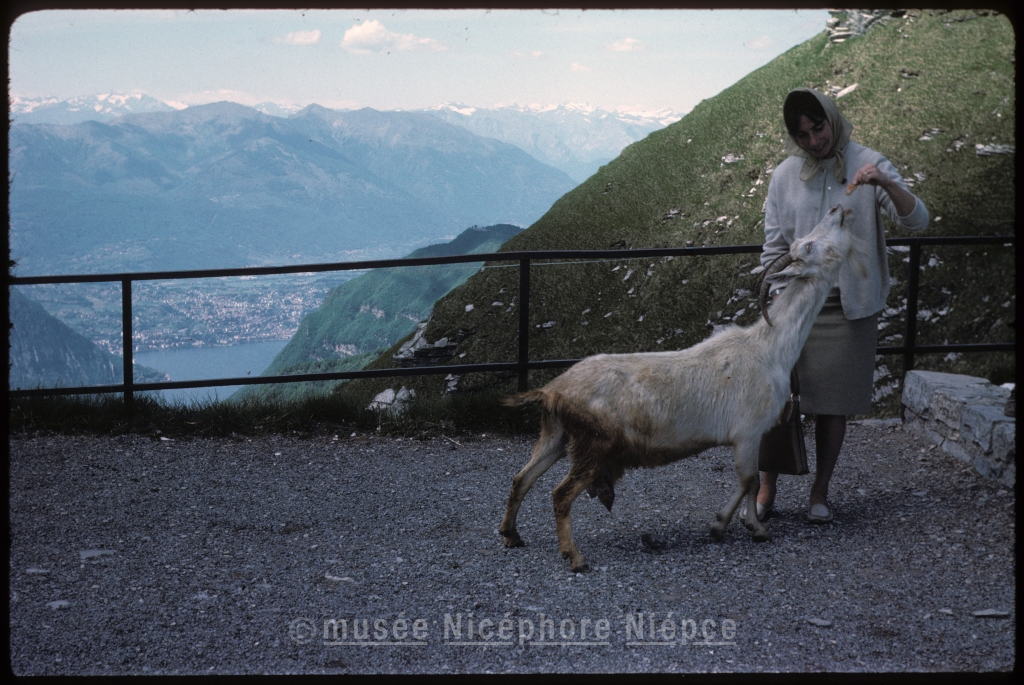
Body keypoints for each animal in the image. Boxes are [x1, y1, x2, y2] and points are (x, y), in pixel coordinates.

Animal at [499, 203, 867, 572]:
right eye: (809, 245)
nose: (838, 208)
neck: (768, 348)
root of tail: (553, 390)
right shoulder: (747, 432)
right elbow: (749, 479)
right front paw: (733, 526)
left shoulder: (753, 434)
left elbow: (753, 480)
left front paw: (747, 526)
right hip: (594, 443)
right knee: (560, 493)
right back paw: (574, 557)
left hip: (557, 435)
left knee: (522, 478)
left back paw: (511, 535)